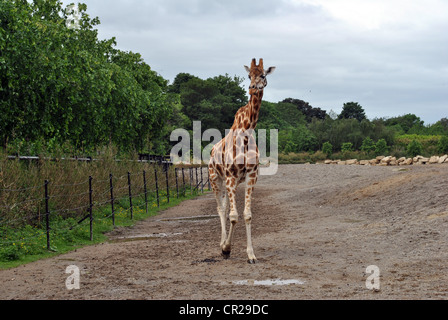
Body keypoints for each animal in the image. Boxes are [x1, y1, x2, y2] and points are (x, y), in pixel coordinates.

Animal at [208, 58, 274, 264]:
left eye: (263, 75)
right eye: (248, 75)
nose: (253, 88)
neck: (247, 133)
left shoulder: (251, 176)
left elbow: (246, 215)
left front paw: (251, 254)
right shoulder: (230, 176)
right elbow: (234, 216)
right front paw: (226, 249)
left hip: (233, 181)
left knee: (225, 207)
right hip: (215, 179)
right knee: (221, 208)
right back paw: (221, 244)